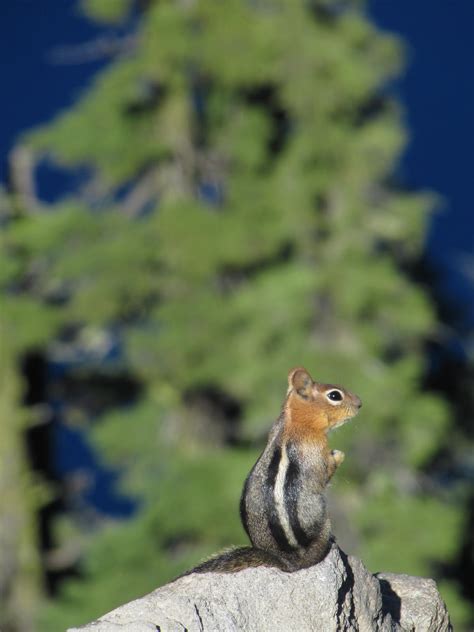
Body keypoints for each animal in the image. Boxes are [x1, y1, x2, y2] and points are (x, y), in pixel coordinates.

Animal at [189, 368, 362, 576]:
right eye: (335, 395)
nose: (360, 403)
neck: (294, 421)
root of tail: (289, 561)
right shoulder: (315, 453)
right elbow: (326, 472)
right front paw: (339, 455)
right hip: (325, 525)